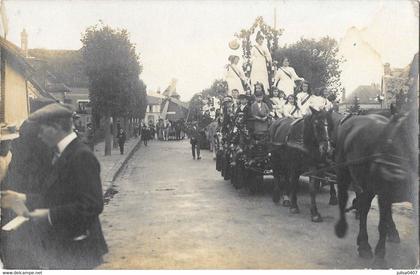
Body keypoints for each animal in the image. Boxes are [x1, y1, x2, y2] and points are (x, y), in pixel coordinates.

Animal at [334, 110, 416, 268]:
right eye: (393, 140)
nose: (391, 173)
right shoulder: (384, 193)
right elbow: (382, 225)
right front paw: (380, 256)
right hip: (343, 171)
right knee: (345, 198)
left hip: (366, 185)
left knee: (363, 206)